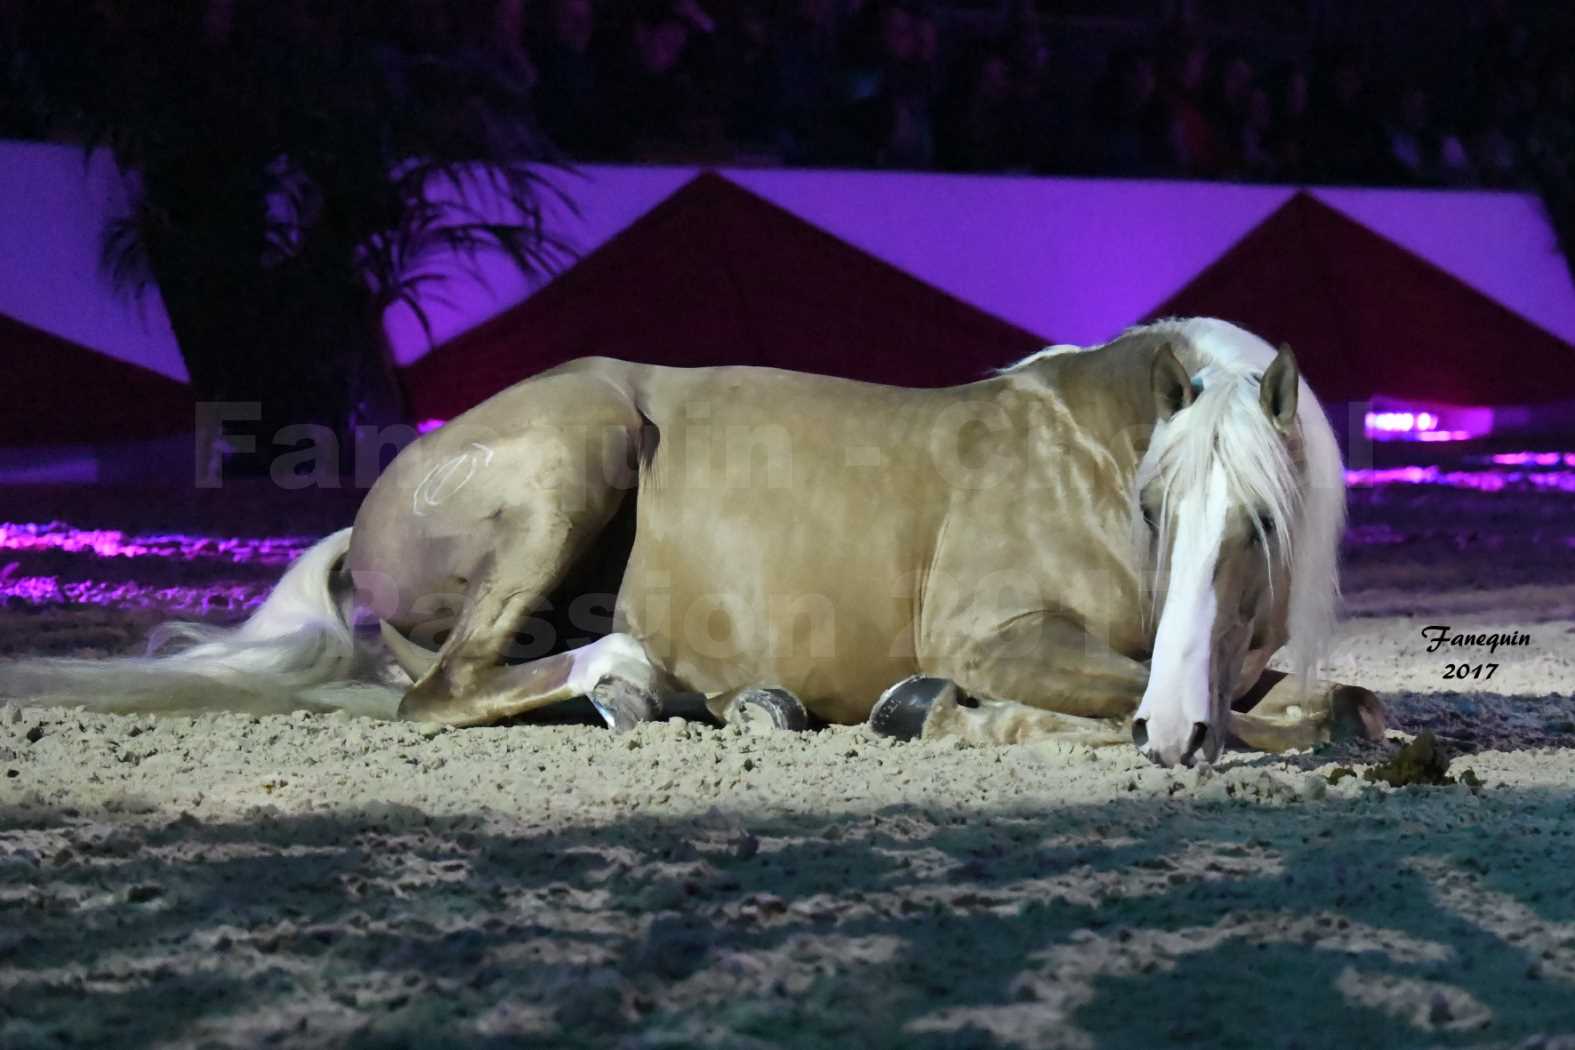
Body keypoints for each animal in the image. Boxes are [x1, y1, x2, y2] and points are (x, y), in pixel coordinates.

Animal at [0, 316, 1379, 768]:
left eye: (1262, 526)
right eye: (1159, 511)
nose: (1169, 736)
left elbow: (1327, 701)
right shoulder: (1000, 636)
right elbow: (1286, 718)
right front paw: (948, 713)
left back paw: (733, 703)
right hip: (577, 456)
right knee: (446, 691)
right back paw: (630, 677)